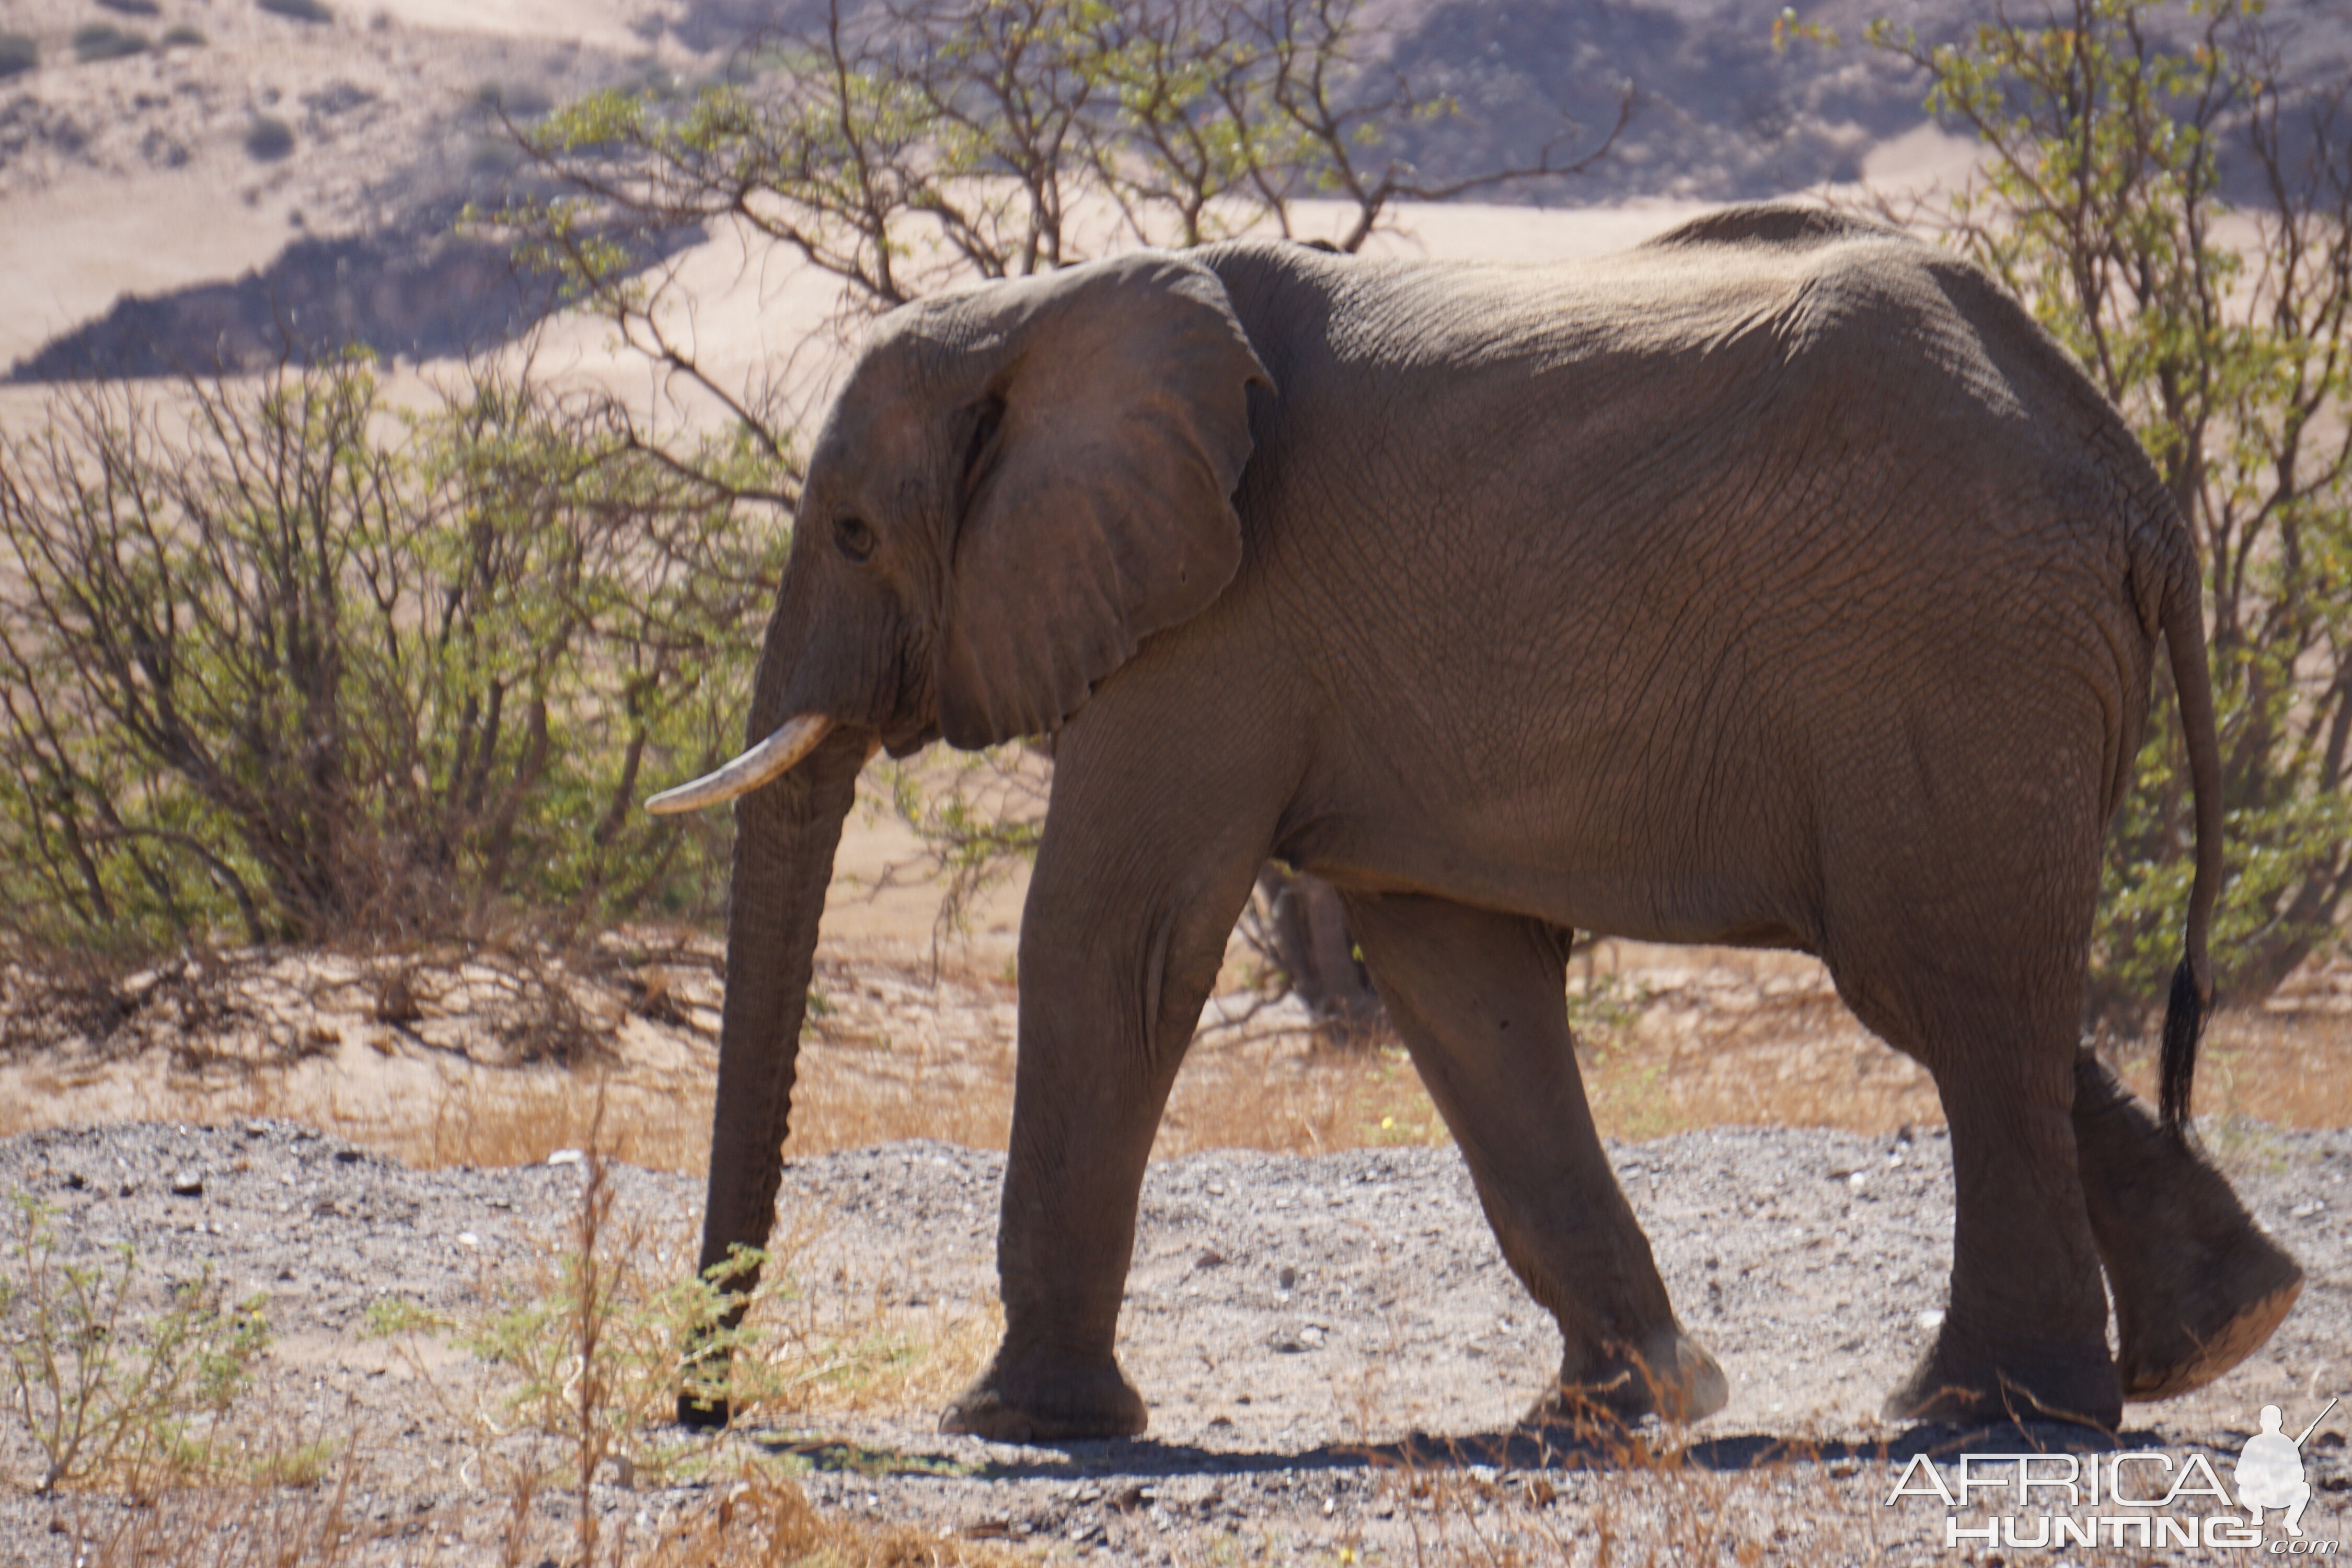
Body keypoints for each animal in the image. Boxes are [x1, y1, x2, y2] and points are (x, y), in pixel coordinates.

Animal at [654, 202, 2305, 1438]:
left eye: (851, 533)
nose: (701, 1410)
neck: (1039, 310)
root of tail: (2129, 486)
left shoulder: (1221, 617)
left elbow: (1111, 942)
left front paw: (1010, 1423)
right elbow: (1456, 982)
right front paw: (1632, 1407)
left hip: (1946, 655)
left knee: (1936, 987)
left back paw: (1980, 1410)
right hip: (1984, 668)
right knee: (1972, 992)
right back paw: (2216, 1335)